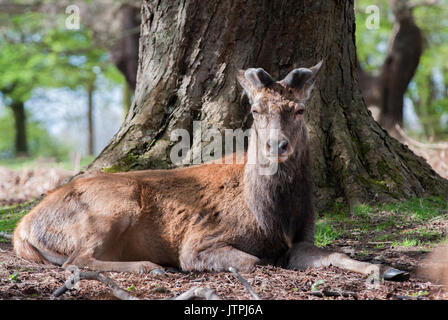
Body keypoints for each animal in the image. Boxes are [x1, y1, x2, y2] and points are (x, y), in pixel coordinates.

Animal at [14, 61, 406, 278]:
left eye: (298, 110)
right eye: (256, 111)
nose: (276, 146)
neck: (271, 216)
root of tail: (22, 227)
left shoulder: (302, 238)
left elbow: (336, 253)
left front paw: (387, 268)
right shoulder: (198, 240)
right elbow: (253, 261)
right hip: (110, 208)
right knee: (76, 260)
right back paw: (149, 266)